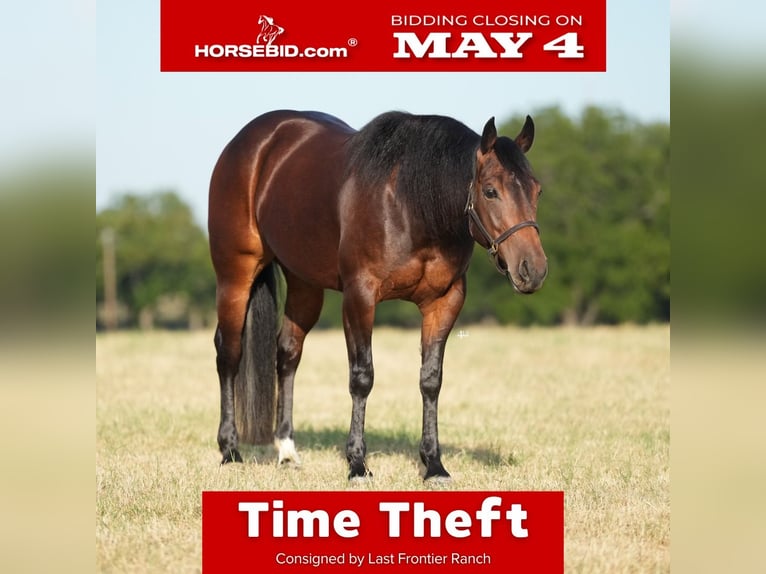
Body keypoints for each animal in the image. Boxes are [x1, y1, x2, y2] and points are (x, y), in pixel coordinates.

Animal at [208, 110, 547, 480]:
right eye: (490, 191)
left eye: (537, 190)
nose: (533, 270)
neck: (410, 206)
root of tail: (250, 141)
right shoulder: (360, 297)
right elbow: (362, 377)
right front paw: (357, 463)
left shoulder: (444, 302)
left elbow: (431, 380)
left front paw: (434, 464)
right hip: (235, 275)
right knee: (229, 354)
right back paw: (230, 450)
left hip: (304, 284)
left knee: (287, 354)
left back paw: (286, 451)